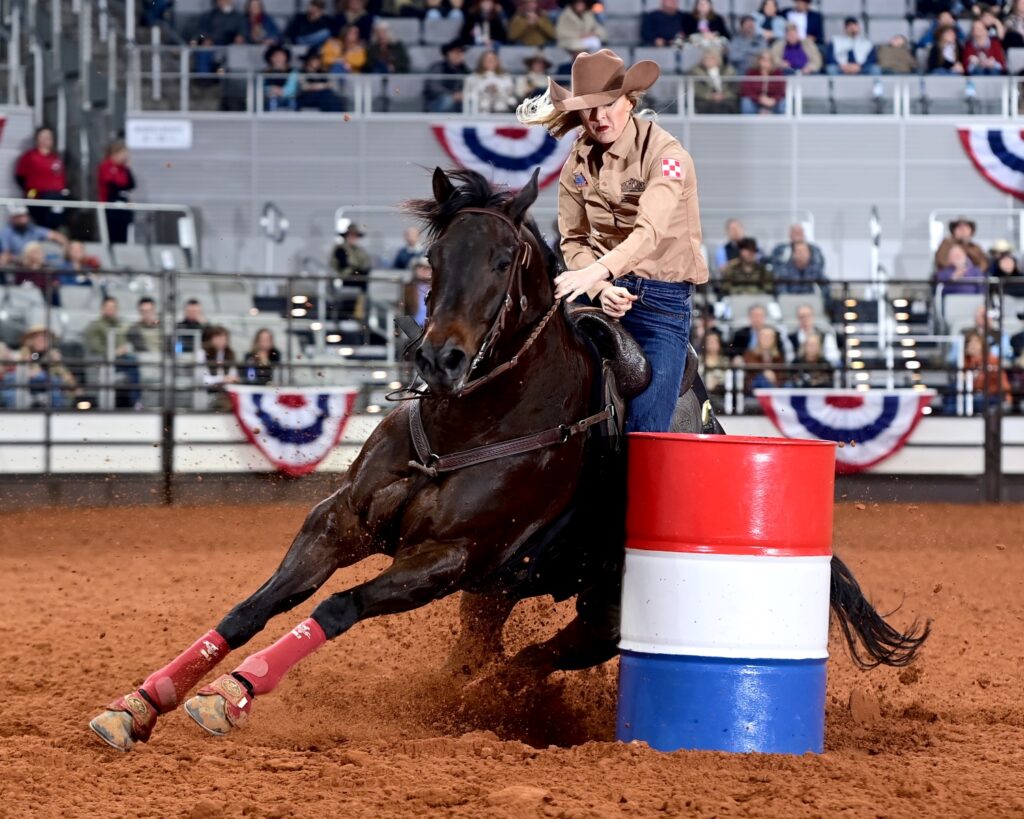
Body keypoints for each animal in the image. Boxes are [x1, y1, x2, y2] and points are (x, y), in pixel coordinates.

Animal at [90, 167, 929, 753]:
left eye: (504, 258)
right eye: (436, 254)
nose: (440, 358)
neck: (468, 422)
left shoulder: (451, 557)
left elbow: (336, 607)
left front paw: (230, 694)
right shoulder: (342, 522)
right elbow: (252, 606)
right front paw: (138, 704)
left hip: (597, 611)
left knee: (528, 662)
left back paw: (477, 704)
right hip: (493, 594)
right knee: (491, 653)